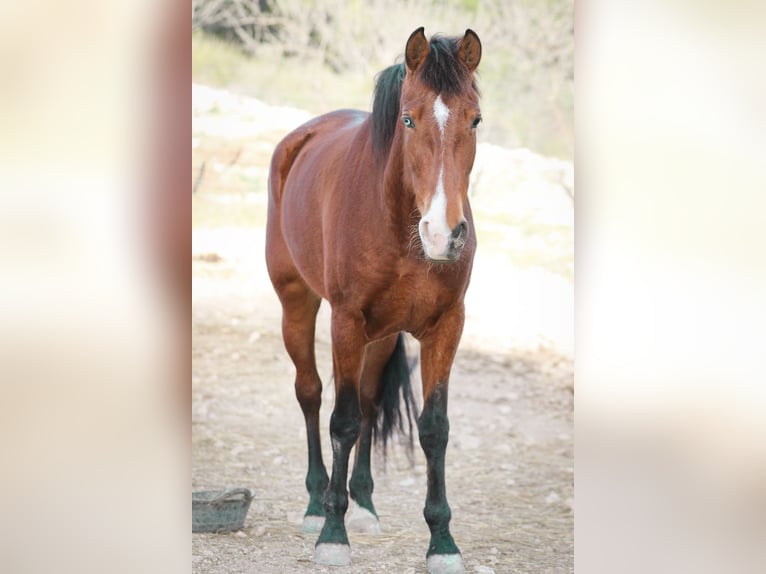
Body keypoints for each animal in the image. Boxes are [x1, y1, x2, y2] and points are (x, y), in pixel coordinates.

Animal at [268, 27, 484, 574]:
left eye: (475, 119)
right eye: (408, 118)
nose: (443, 234)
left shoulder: (446, 326)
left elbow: (433, 428)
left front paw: (442, 542)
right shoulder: (345, 321)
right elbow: (341, 422)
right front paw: (333, 534)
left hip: (382, 335)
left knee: (367, 402)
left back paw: (363, 504)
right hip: (297, 304)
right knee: (311, 393)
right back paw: (315, 503)